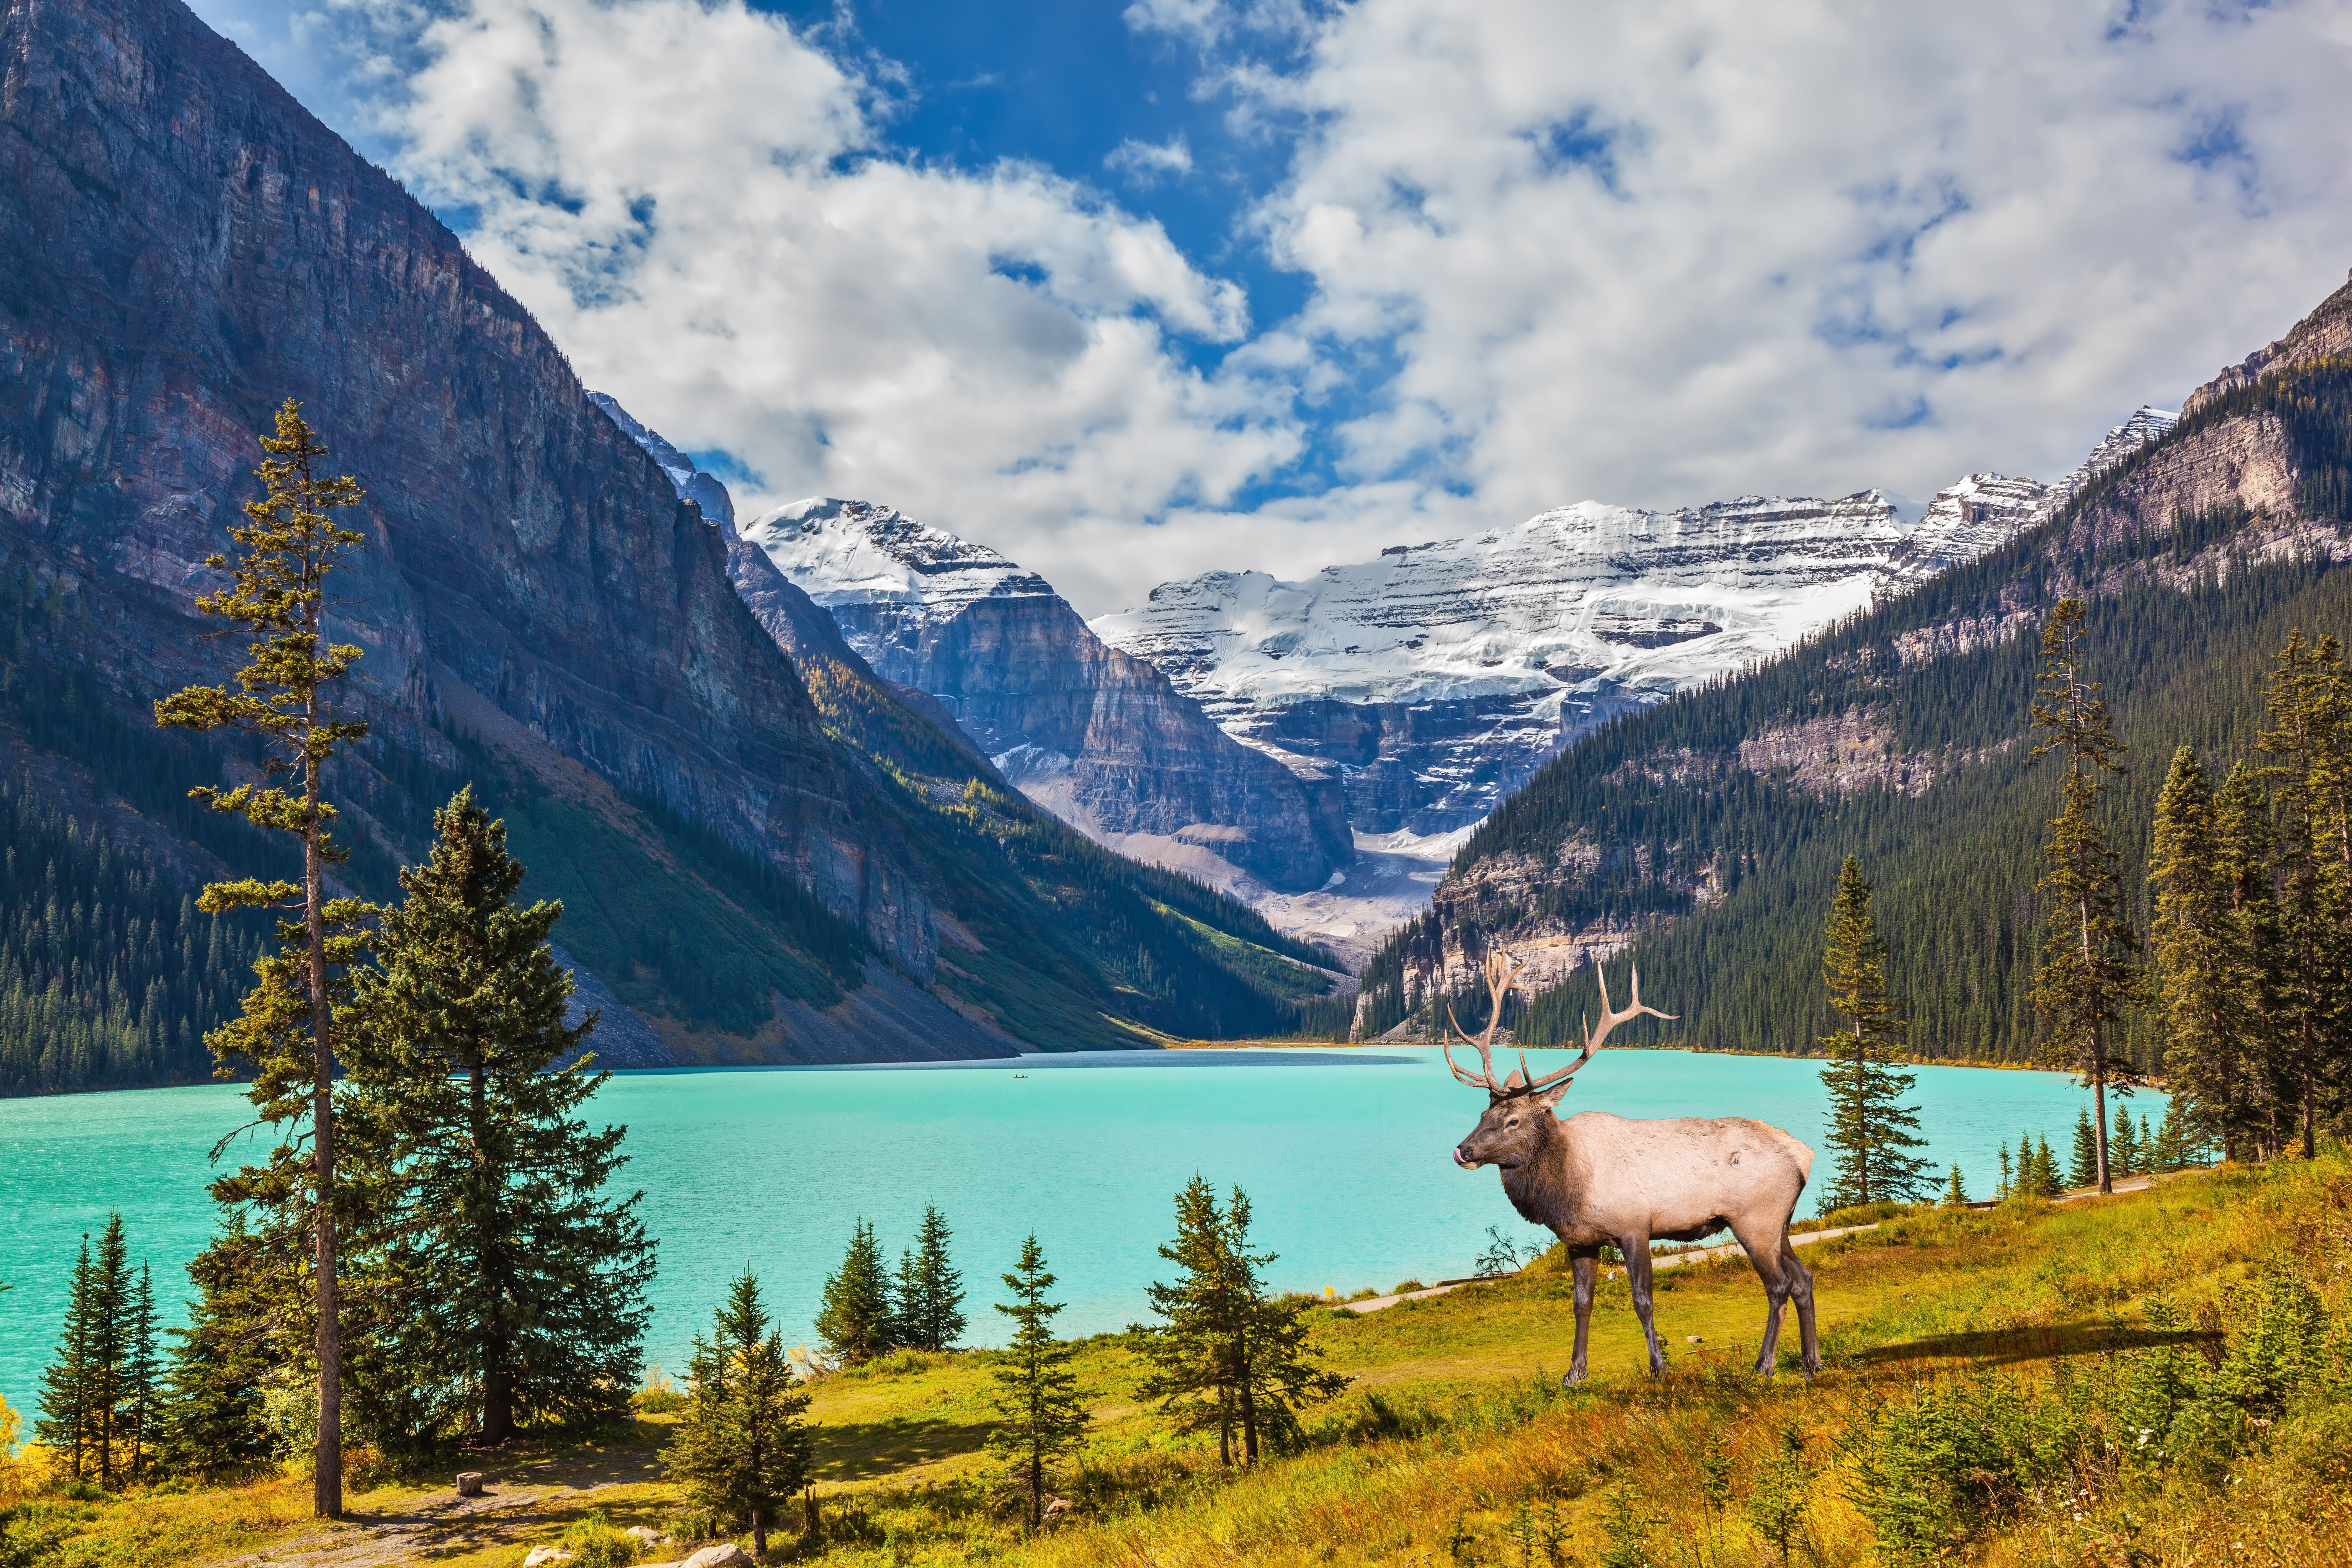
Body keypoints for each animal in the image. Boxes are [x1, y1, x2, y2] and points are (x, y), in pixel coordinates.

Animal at [1445, 950, 1819, 1383]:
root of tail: (1803, 1155)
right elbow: (1581, 1303)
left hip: (1755, 1219)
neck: (1567, 1188)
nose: (1463, 1151)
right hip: (1781, 1223)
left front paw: (1660, 1369)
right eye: (1483, 1113)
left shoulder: (1635, 1226)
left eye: (1513, 1121)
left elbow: (1643, 1300)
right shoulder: (1580, 1241)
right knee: (1803, 1278)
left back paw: (1763, 1366)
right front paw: (1574, 1374)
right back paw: (1811, 1364)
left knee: (1779, 1285)